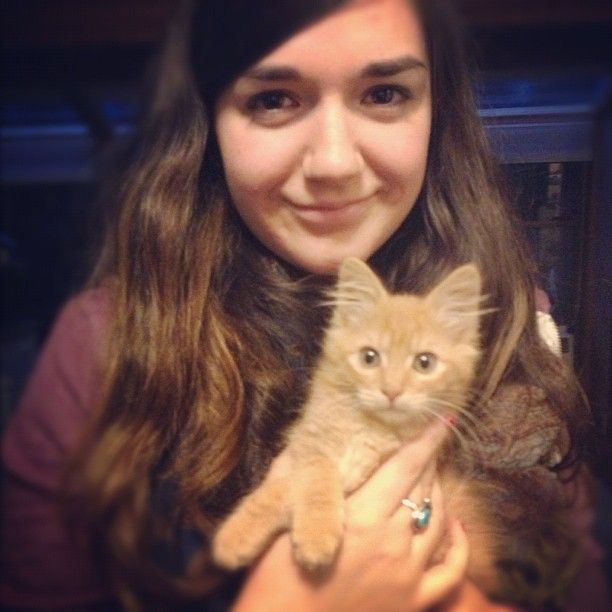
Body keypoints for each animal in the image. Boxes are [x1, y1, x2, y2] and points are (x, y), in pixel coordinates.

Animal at [212, 258, 579, 605]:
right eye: (369, 357)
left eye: (424, 362)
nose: (391, 390)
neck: (369, 428)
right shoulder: (308, 444)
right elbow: (292, 486)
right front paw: (236, 538)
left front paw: (314, 538)